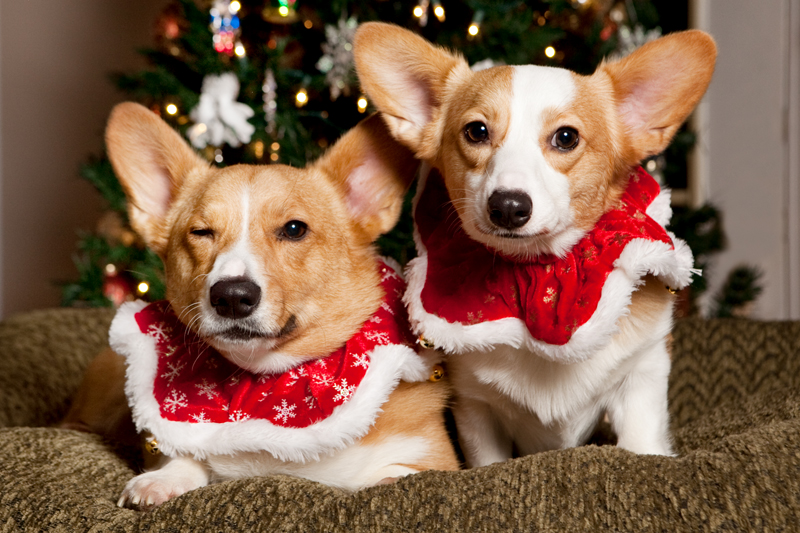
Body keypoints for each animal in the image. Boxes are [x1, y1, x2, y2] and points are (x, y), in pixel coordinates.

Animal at [64, 103, 456, 508]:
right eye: (200, 232)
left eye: (295, 229)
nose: (231, 297)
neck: (266, 381)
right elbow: (183, 455)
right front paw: (160, 481)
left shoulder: (432, 457)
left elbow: (391, 474)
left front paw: (384, 481)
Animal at [354, 23, 716, 466]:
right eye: (476, 131)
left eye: (566, 137)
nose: (507, 207)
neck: (537, 273)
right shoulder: (476, 407)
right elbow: (487, 460)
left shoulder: (642, 374)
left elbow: (642, 442)